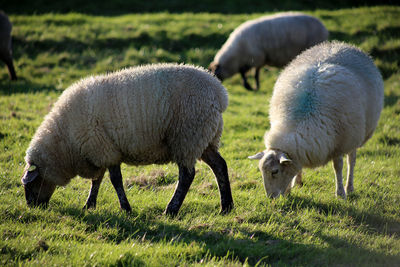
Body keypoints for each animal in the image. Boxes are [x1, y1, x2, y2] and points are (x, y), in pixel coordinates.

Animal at [21, 63, 234, 217]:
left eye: (30, 185)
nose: (32, 207)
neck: (64, 143)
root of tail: (219, 92)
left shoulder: (104, 149)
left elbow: (115, 180)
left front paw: (125, 209)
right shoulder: (99, 151)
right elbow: (97, 180)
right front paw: (89, 205)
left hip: (188, 136)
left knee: (187, 176)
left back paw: (171, 210)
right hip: (205, 139)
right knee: (220, 166)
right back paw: (226, 207)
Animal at [250, 42, 384, 200]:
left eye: (275, 171)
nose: (270, 197)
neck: (303, 120)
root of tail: (341, 45)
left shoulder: (339, 143)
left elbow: (338, 166)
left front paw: (340, 193)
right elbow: (297, 166)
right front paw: (294, 184)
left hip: (356, 134)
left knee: (352, 160)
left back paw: (349, 187)